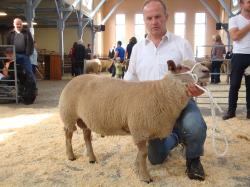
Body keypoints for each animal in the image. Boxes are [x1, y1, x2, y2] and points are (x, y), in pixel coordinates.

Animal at [58, 60, 209, 183]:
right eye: (182, 67)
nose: (207, 71)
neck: (162, 94)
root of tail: (74, 79)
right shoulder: (140, 129)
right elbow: (143, 154)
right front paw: (145, 177)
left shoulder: (145, 131)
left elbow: (141, 154)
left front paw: (137, 169)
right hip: (69, 115)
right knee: (68, 135)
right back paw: (70, 156)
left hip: (85, 119)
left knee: (86, 136)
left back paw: (91, 158)